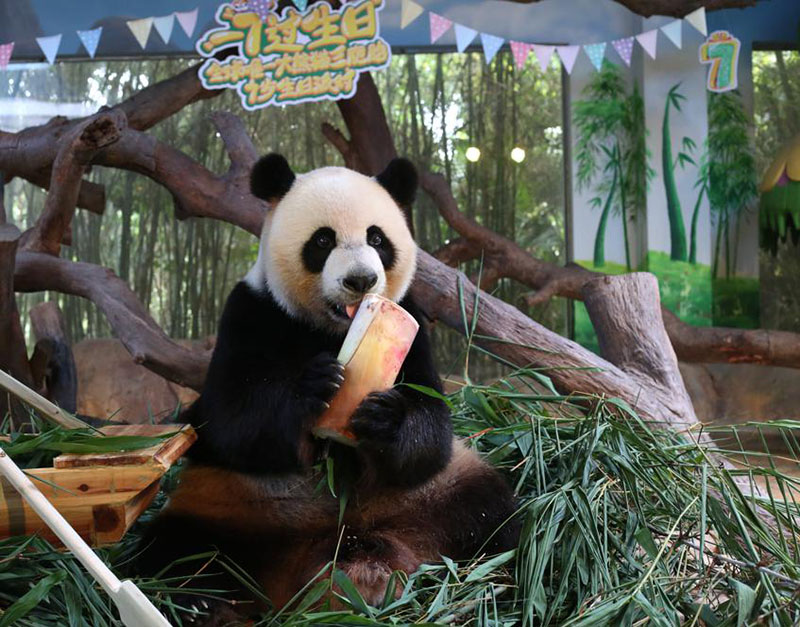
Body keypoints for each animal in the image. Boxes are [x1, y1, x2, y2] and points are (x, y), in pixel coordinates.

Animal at [139, 153, 520, 624]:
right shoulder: (251, 312)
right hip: (230, 502)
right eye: (322, 240)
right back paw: (201, 604)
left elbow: (432, 430)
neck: (332, 329)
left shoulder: (412, 321)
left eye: (377, 238)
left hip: (437, 493)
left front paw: (385, 417)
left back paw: (491, 580)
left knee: (494, 518)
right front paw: (316, 386)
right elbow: (231, 420)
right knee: (178, 550)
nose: (361, 280)